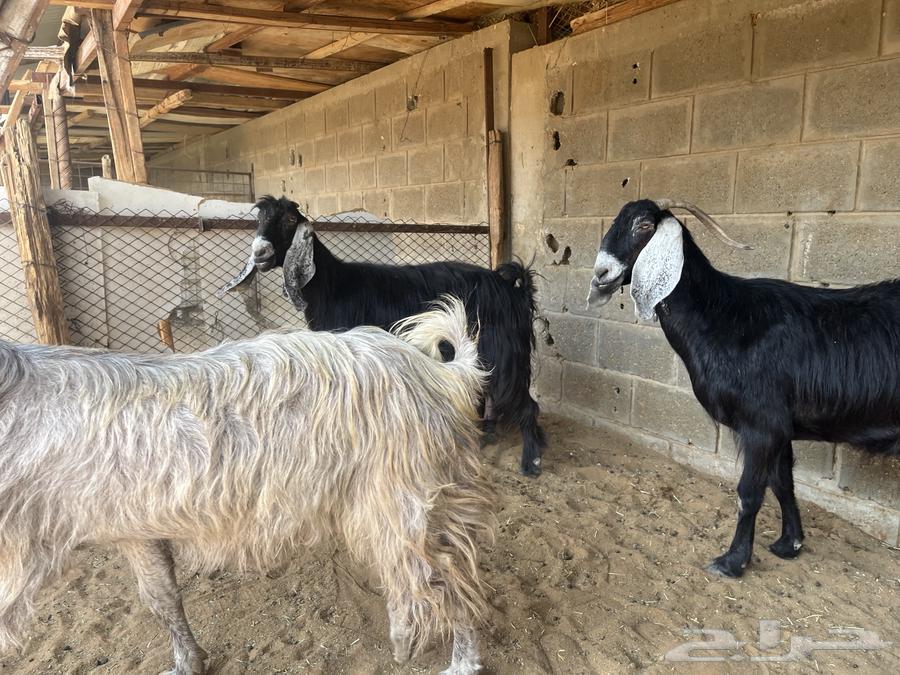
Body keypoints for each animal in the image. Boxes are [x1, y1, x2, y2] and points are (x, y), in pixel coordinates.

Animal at [0, 299, 491, 674]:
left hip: (408, 494)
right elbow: (162, 598)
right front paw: (188, 663)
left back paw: (458, 662)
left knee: (447, 579)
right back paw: (404, 637)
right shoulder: (135, 529)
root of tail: (441, 375)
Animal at [224, 195, 546, 476]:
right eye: (259, 219)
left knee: (525, 402)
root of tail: (513, 288)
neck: (333, 286)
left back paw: (531, 461)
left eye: (291, 219)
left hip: (503, 348)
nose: (260, 252)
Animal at [587, 199, 900, 578]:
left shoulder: (762, 423)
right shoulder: (781, 428)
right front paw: (789, 544)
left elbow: (749, 493)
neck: (722, 317)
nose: (601, 273)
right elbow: (783, 483)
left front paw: (732, 561)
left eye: (645, 226)